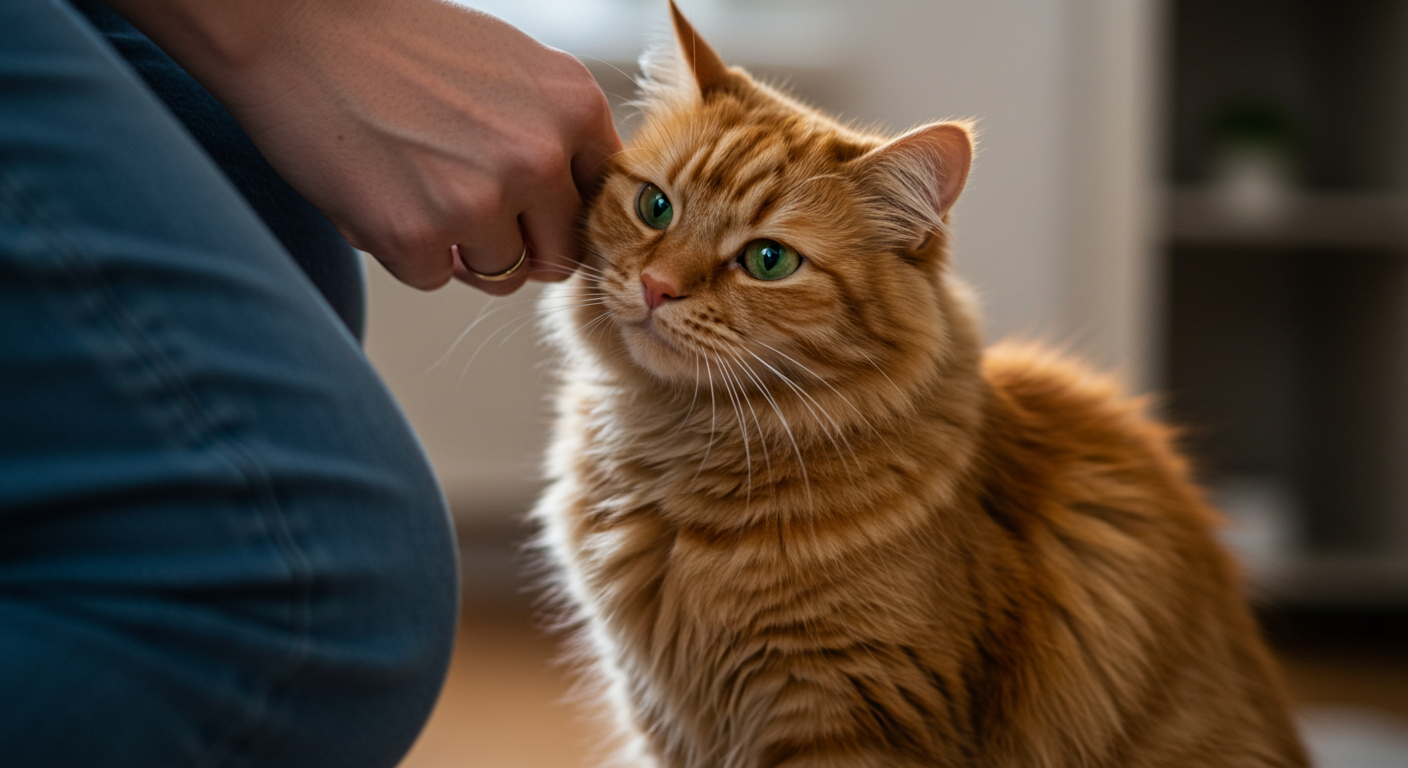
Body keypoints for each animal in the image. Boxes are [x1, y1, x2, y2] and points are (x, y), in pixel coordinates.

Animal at [535, 2, 1306, 760]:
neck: (675, 456)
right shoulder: (661, 715)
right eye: (656, 207)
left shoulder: (850, 714)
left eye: (768, 260)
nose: (658, 287)